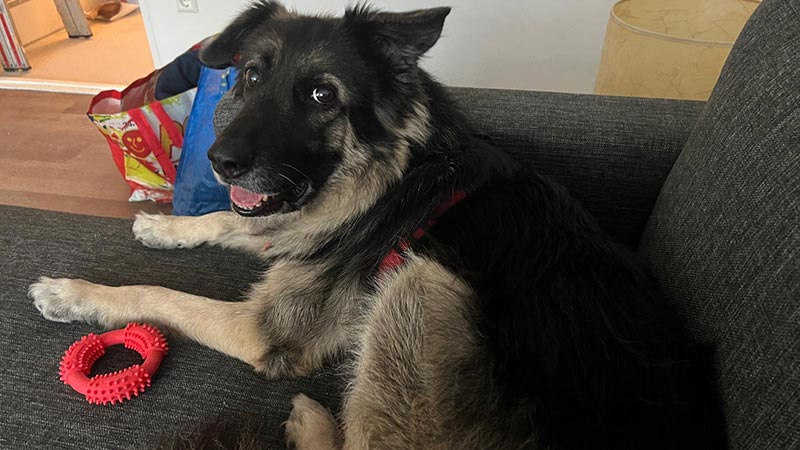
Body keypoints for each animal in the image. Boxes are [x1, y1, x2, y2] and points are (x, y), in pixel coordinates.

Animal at [29, 2, 728, 449]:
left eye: (322, 96)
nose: (219, 161)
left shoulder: (264, 328)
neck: (393, 177)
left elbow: (159, 294)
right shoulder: (291, 225)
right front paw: (167, 225)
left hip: (420, 286)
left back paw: (311, 422)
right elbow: (233, 220)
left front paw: (73, 293)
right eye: (251, 75)